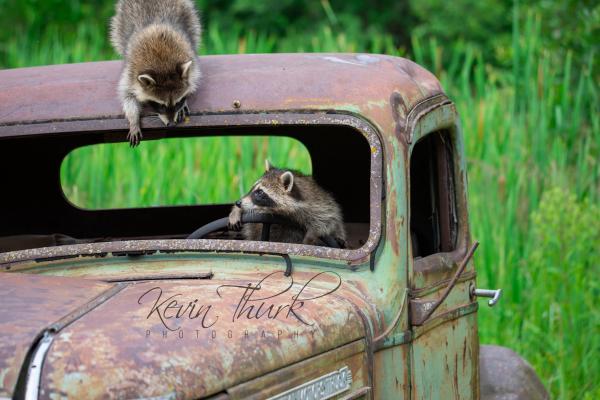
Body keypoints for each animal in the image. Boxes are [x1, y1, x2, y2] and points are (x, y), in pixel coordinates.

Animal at [109, 0, 200, 147]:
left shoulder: (192, 63)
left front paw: (185, 102)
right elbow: (127, 96)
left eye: (178, 102)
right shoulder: (130, 73)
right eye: (161, 105)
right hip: (120, 23)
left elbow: (193, 81)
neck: (163, 65)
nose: (171, 125)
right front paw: (133, 119)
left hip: (190, 17)